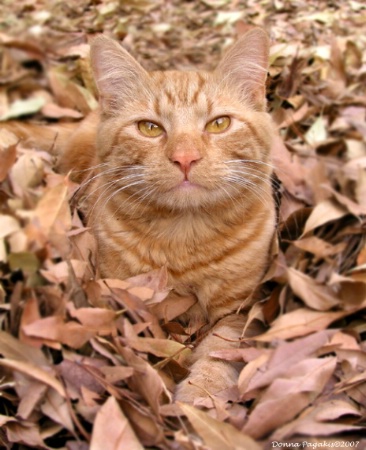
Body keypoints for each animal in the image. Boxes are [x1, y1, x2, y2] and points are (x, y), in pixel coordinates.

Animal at [5, 29, 276, 400]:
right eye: (150, 128)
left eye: (219, 124)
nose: (185, 158)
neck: (185, 238)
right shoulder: (117, 302)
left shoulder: (242, 309)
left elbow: (220, 350)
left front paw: (200, 394)